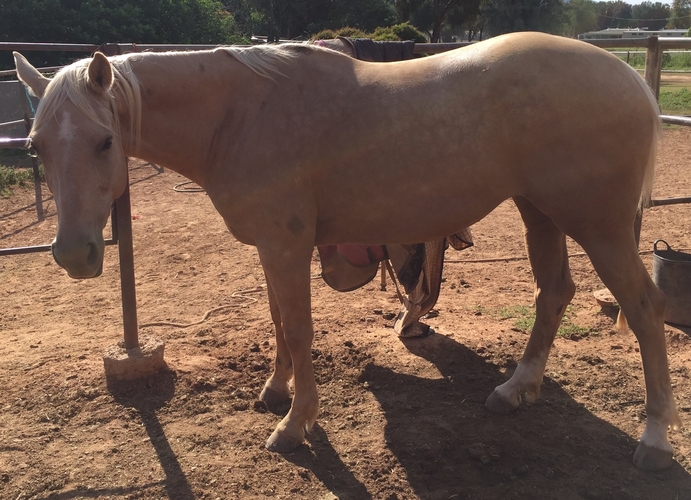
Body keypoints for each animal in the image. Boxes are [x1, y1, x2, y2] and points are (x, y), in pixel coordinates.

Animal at [14, 31, 681, 470]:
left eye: (105, 141)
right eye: (35, 145)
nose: (74, 255)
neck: (238, 115)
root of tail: (628, 79)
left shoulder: (286, 245)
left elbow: (299, 329)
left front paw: (294, 425)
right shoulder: (272, 246)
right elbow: (278, 322)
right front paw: (275, 391)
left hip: (598, 226)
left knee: (645, 310)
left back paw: (653, 438)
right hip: (539, 212)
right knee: (553, 293)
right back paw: (515, 390)